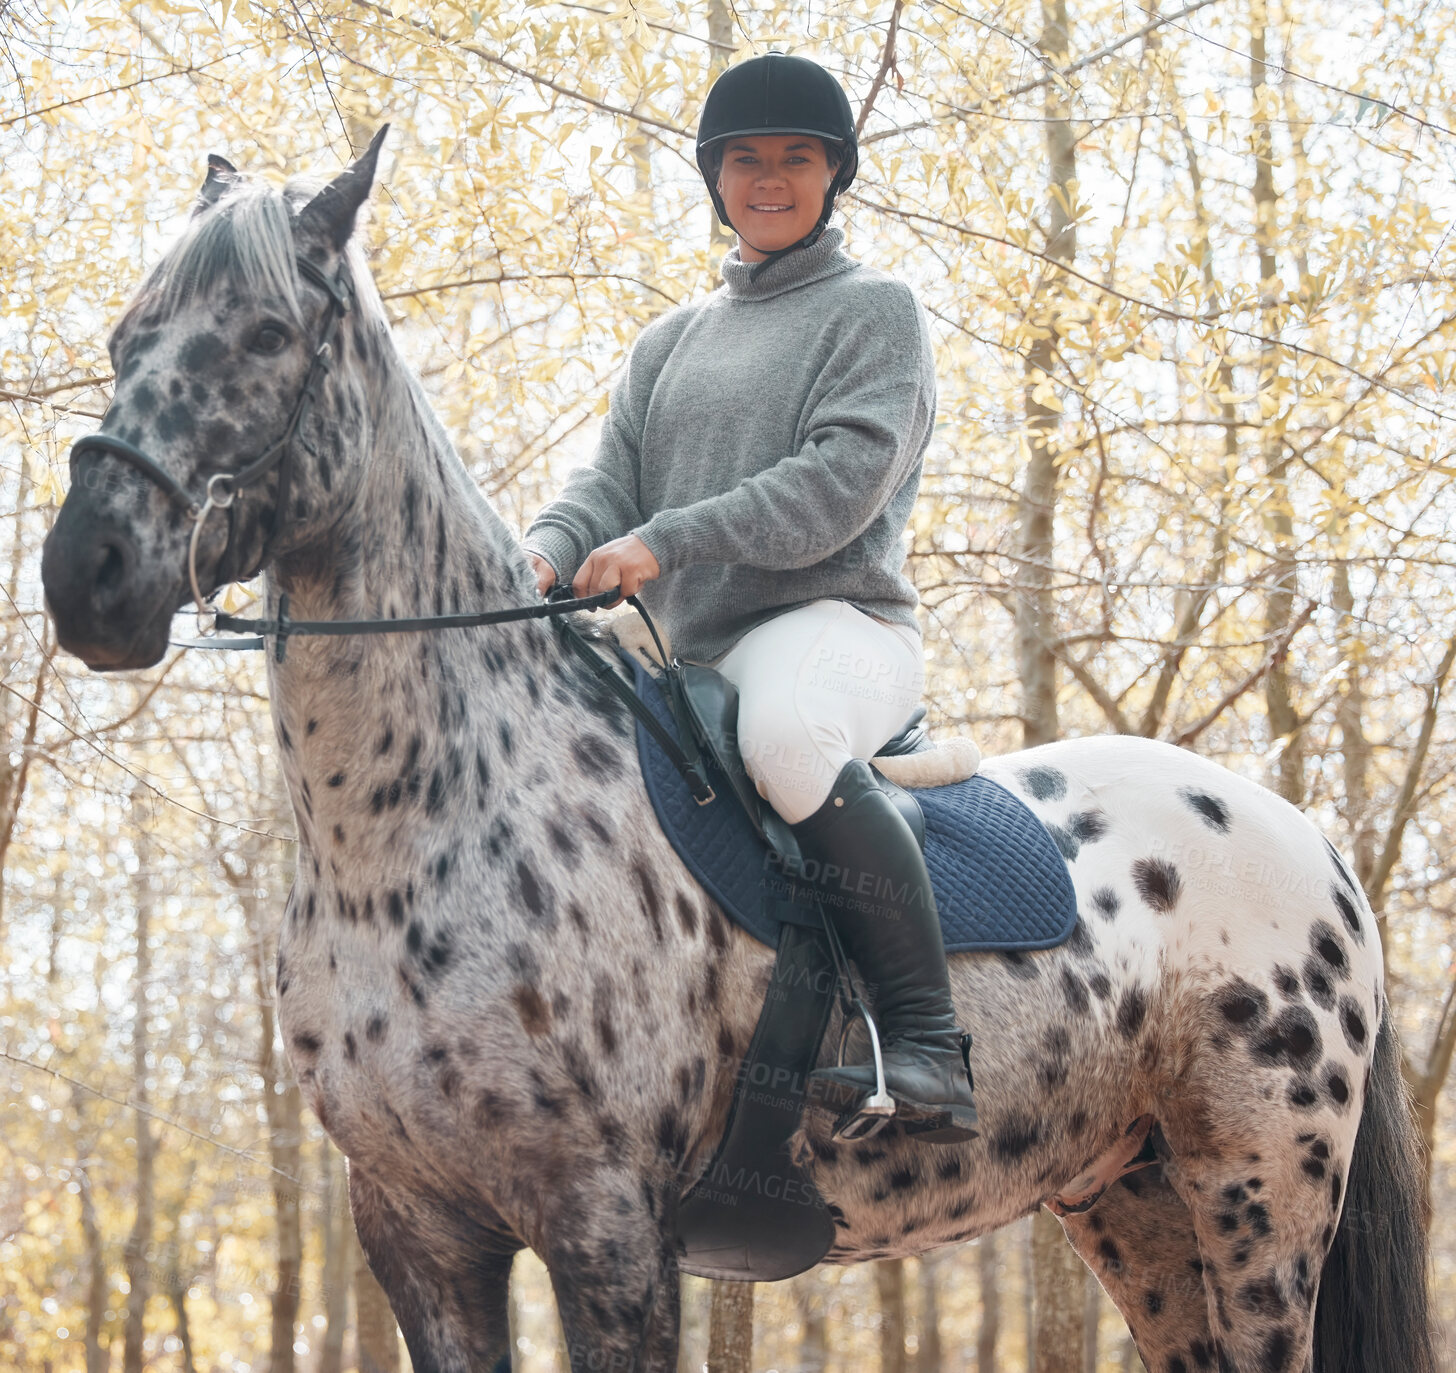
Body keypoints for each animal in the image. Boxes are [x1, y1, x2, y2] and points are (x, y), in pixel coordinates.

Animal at [42, 131, 1432, 1373]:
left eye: (268, 335)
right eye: (125, 335)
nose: (86, 576)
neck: (425, 819)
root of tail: (1306, 838)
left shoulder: (607, 1232)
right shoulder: (418, 1231)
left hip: (1257, 1194)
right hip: (1131, 1200)